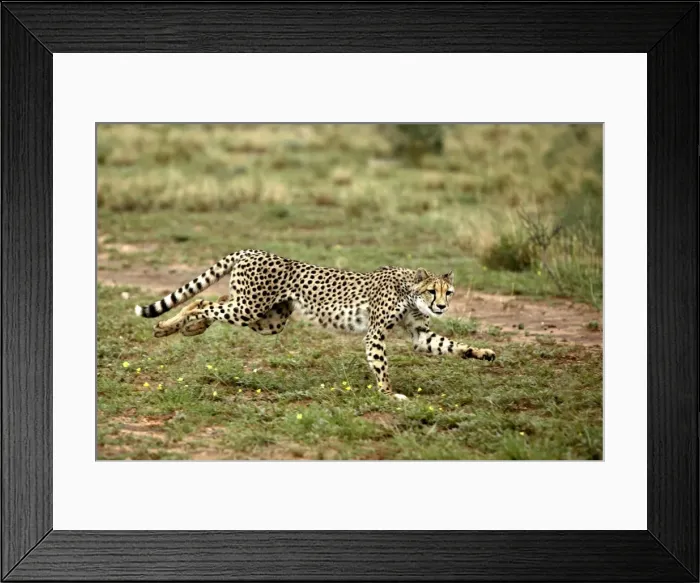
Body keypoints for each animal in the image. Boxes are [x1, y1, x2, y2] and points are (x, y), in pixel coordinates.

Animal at [134, 249, 495, 400]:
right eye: (432, 291)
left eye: (448, 292)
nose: (441, 306)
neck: (409, 290)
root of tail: (252, 250)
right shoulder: (375, 333)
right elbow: (381, 364)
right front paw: (389, 393)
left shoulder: (419, 333)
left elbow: (451, 345)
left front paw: (483, 353)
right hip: (250, 308)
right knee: (204, 303)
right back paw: (176, 326)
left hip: (270, 319)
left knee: (210, 302)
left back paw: (181, 328)